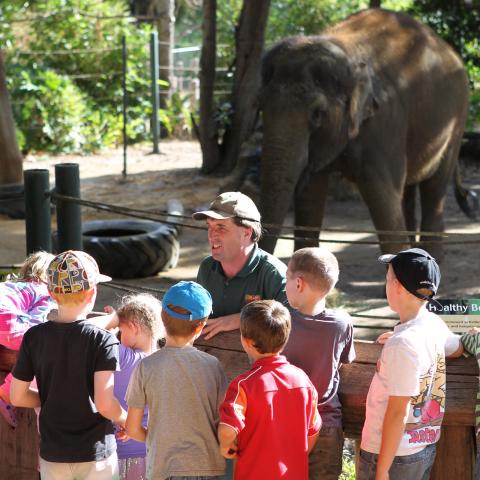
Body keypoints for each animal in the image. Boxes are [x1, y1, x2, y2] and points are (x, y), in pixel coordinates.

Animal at [258, 7, 476, 258]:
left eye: (317, 113)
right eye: (261, 107)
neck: (345, 49)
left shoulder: (385, 123)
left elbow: (384, 203)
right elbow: (310, 199)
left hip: (456, 122)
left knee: (434, 191)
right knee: (407, 193)